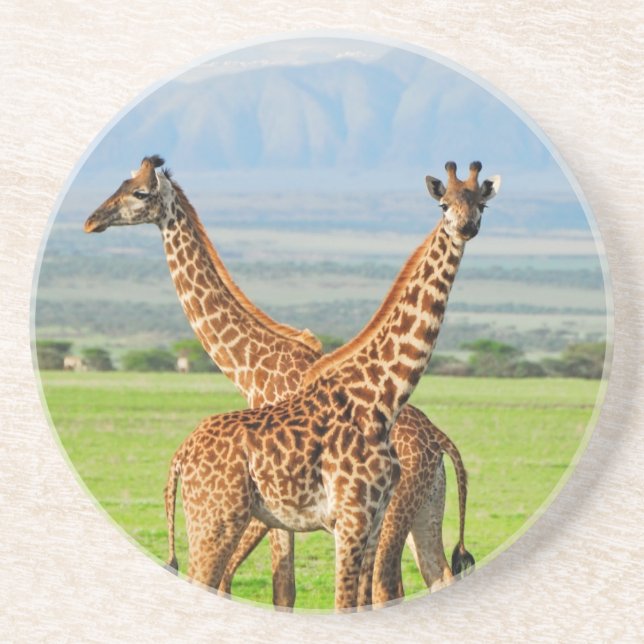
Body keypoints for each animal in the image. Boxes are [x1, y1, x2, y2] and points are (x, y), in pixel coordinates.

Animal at [84, 157, 499, 608]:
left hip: (400, 513)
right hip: (421, 511)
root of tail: (440, 440)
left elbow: (284, 588)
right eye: (125, 185)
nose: (91, 220)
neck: (252, 363)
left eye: (139, 192)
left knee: (392, 584)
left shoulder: (333, 518)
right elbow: (280, 587)